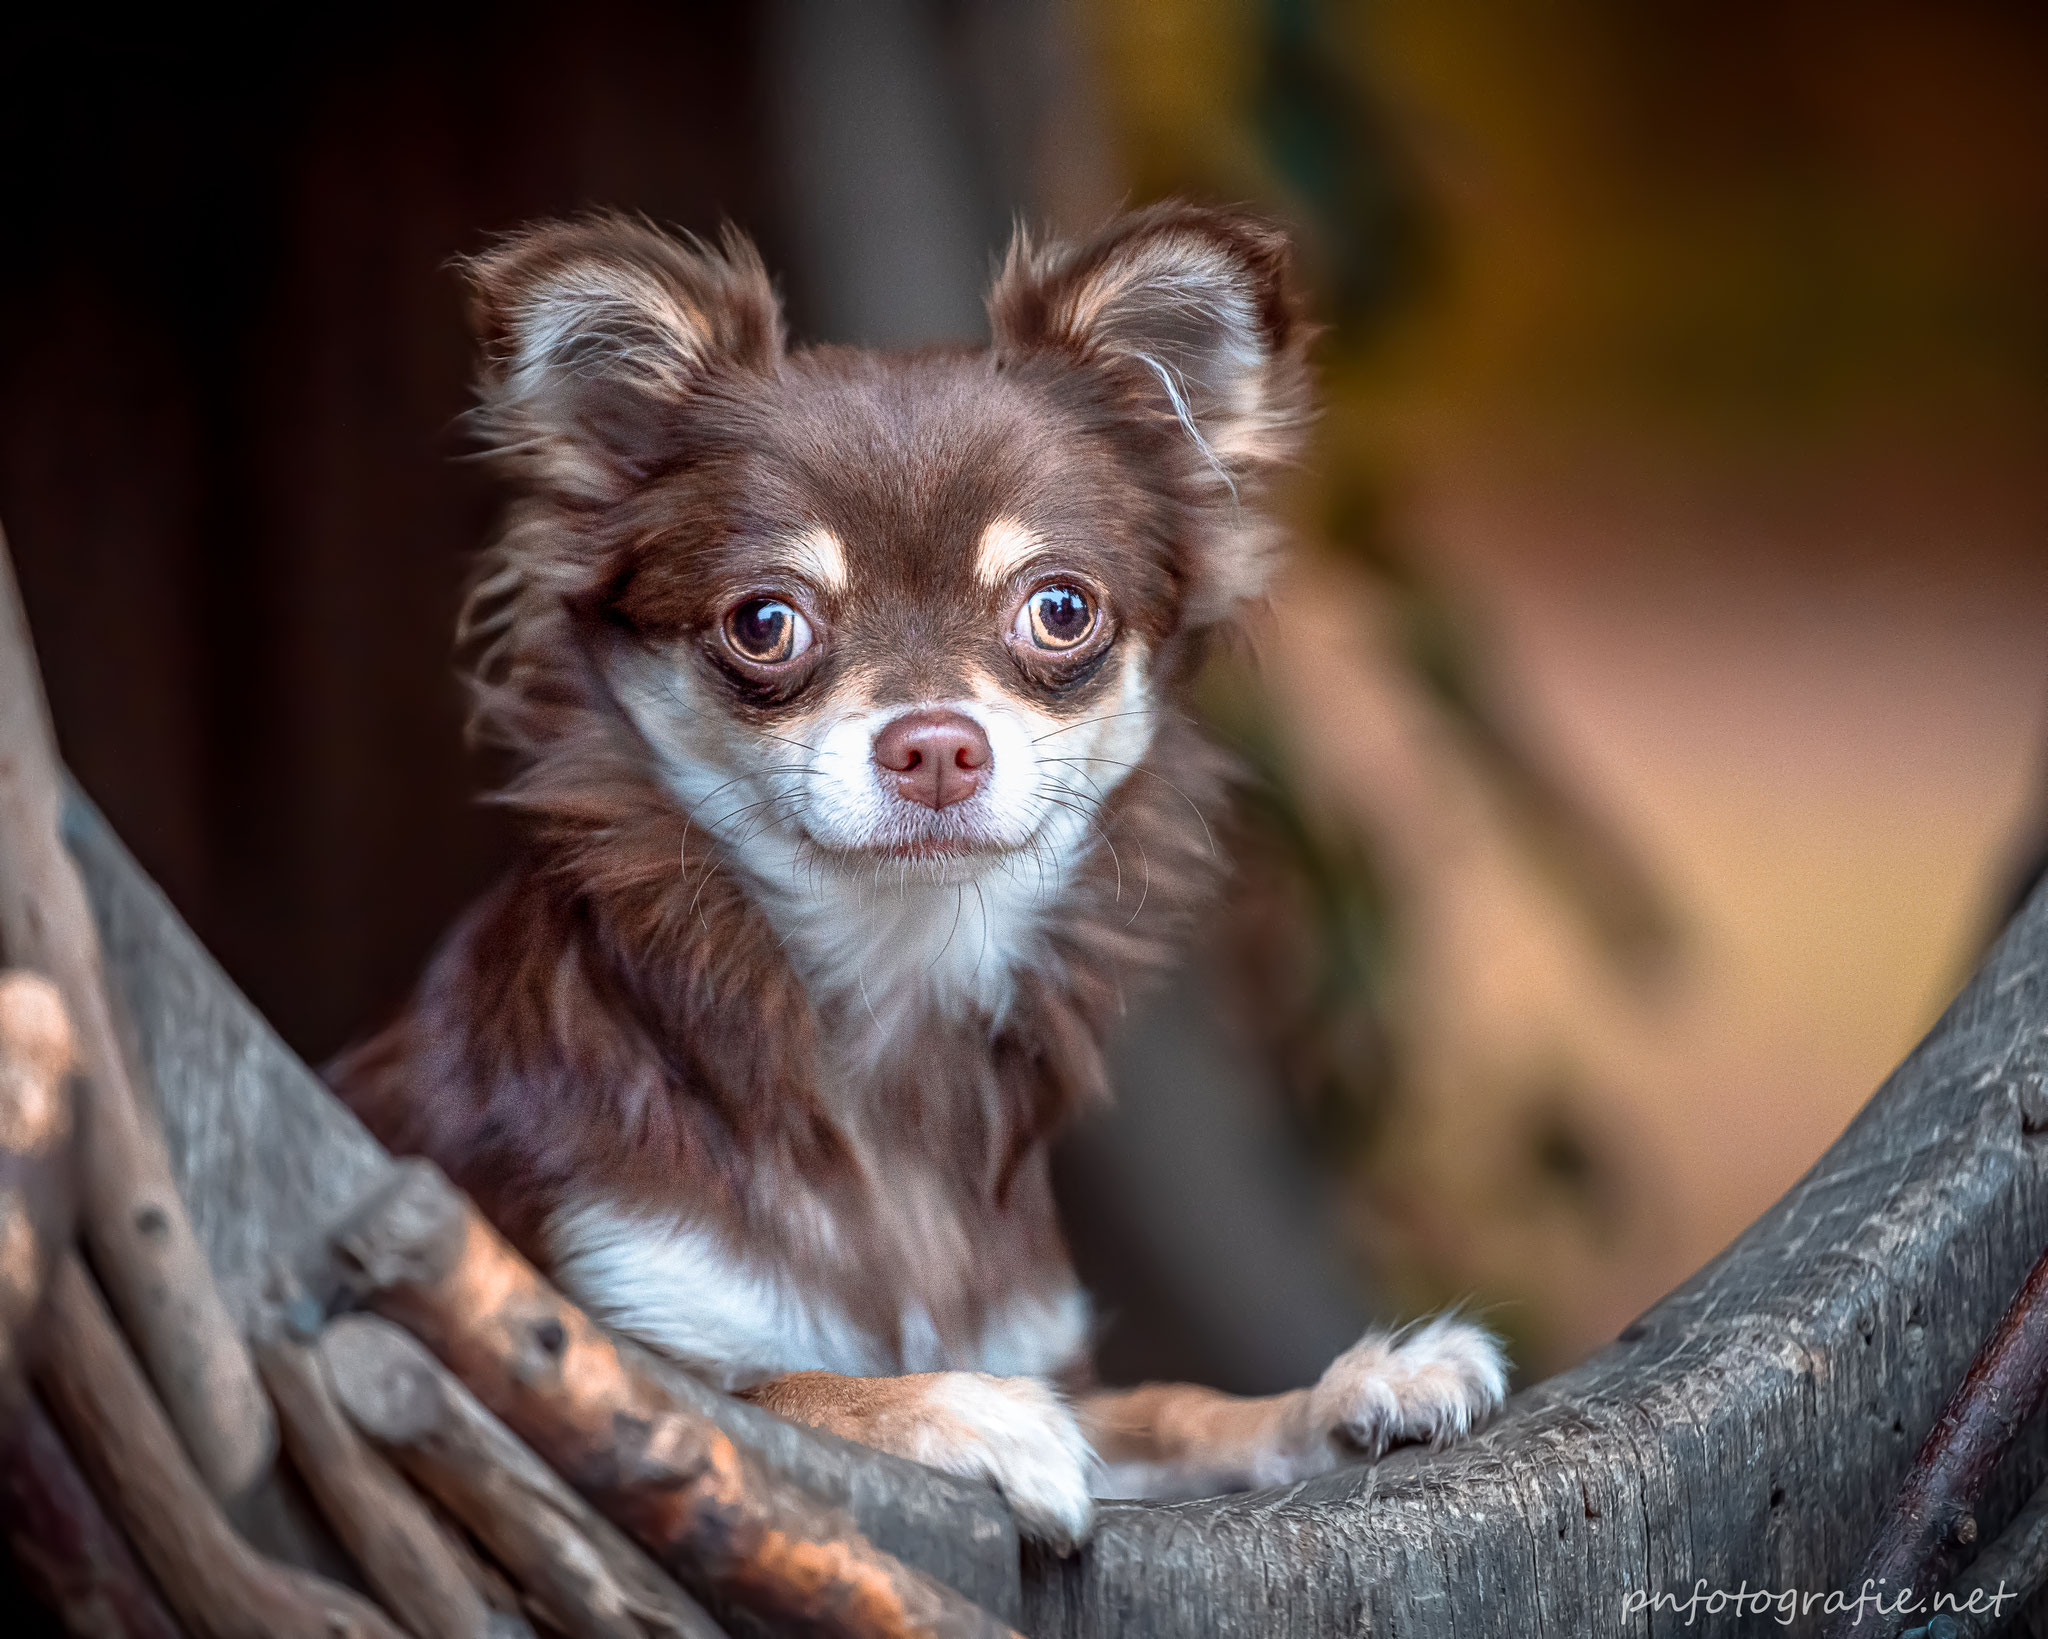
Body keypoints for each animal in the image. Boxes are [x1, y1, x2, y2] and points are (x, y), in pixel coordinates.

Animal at [331, 201, 1507, 1548]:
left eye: (1061, 609)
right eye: (763, 623)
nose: (936, 742)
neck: (887, 999)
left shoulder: (1055, 1352)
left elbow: (1162, 1406)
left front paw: (1350, 1387)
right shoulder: (590, 1325)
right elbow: (784, 1387)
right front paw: (964, 1407)